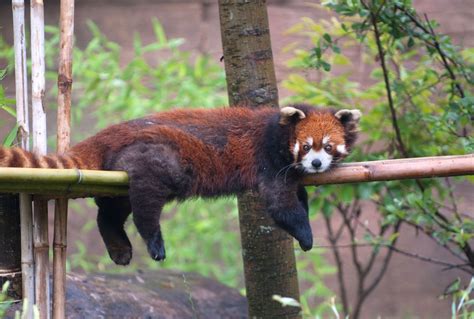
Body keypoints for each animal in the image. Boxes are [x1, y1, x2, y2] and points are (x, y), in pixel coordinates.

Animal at [0, 105, 360, 264]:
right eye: (307, 145)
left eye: (328, 147)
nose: (316, 164)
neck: (278, 131)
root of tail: (109, 133)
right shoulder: (268, 161)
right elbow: (281, 205)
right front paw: (306, 237)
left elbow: (298, 195)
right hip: (158, 155)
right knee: (145, 201)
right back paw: (152, 241)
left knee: (111, 209)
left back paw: (119, 246)